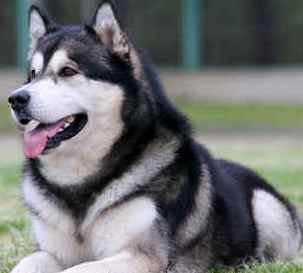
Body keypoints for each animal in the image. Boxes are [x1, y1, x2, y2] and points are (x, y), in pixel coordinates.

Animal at [8, 1, 302, 270]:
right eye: (32, 75)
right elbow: (26, 264)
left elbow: (79, 268)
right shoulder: (49, 252)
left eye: (68, 71)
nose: (15, 99)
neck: (80, 181)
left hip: (266, 206)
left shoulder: (142, 256)